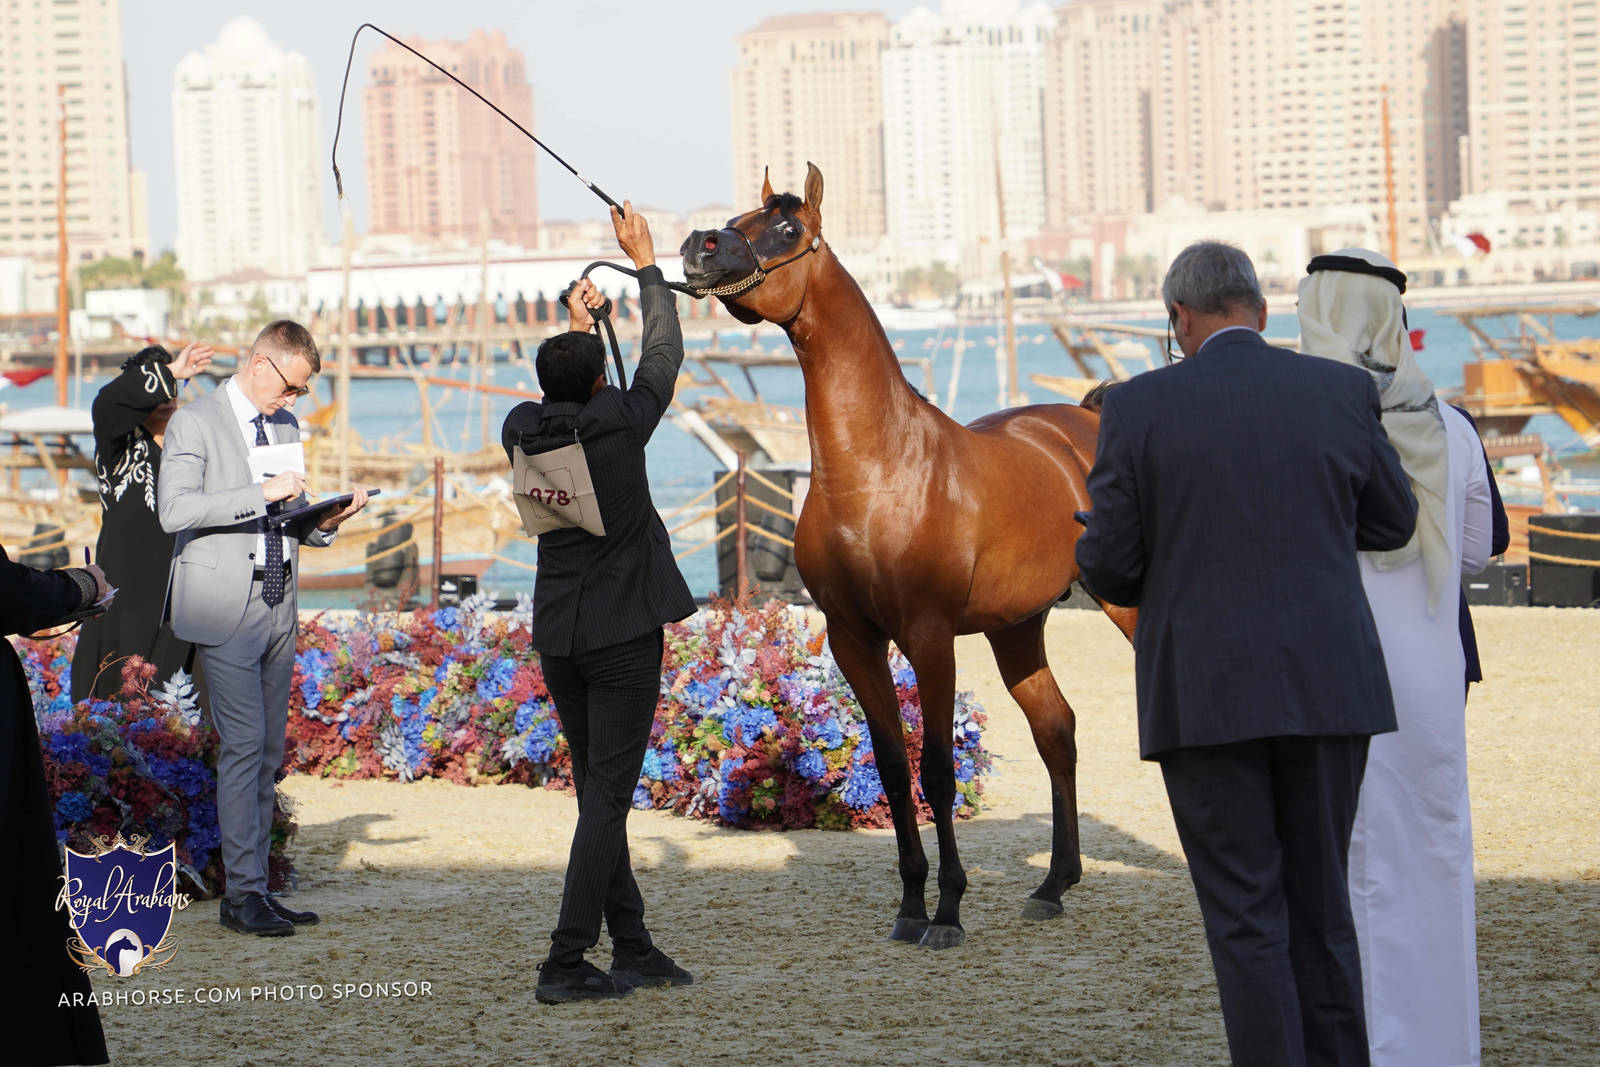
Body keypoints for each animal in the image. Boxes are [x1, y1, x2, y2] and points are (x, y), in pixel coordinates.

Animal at [679, 163, 1136, 949]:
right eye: (737, 219)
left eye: (787, 230)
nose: (697, 248)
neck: (879, 467)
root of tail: (1082, 418)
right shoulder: (854, 639)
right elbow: (894, 768)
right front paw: (910, 906)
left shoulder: (929, 636)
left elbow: (939, 771)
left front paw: (948, 912)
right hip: (1018, 628)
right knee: (1057, 732)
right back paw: (1053, 884)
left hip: (1122, 604)